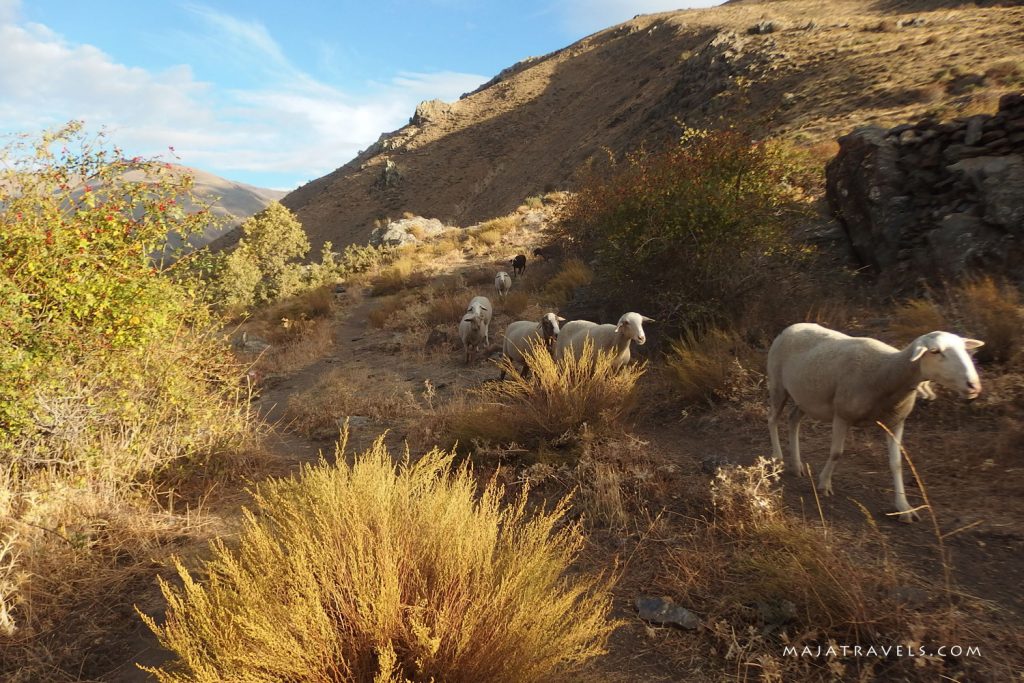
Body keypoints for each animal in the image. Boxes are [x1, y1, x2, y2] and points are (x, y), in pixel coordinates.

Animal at [770, 325, 983, 524]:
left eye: (965, 349)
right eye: (935, 351)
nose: (974, 385)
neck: (887, 374)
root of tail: (792, 326)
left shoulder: (896, 422)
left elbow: (896, 463)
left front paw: (904, 507)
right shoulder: (842, 415)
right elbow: (837, 453)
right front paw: (824, 484)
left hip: (805, 398)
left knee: (793, 419)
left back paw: (797, 465)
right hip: (778, 386)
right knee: (773, 419)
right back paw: (777, 459)